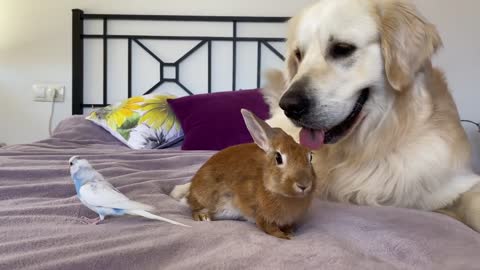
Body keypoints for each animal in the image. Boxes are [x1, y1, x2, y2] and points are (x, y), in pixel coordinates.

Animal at [172, 108, 316, 239]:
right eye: (278, 158)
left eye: (310, 157)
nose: (304, 185)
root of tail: (191, 191)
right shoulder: (259, 213)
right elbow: (269, 228)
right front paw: (285, 236)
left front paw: (290, 232)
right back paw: (203, 217)